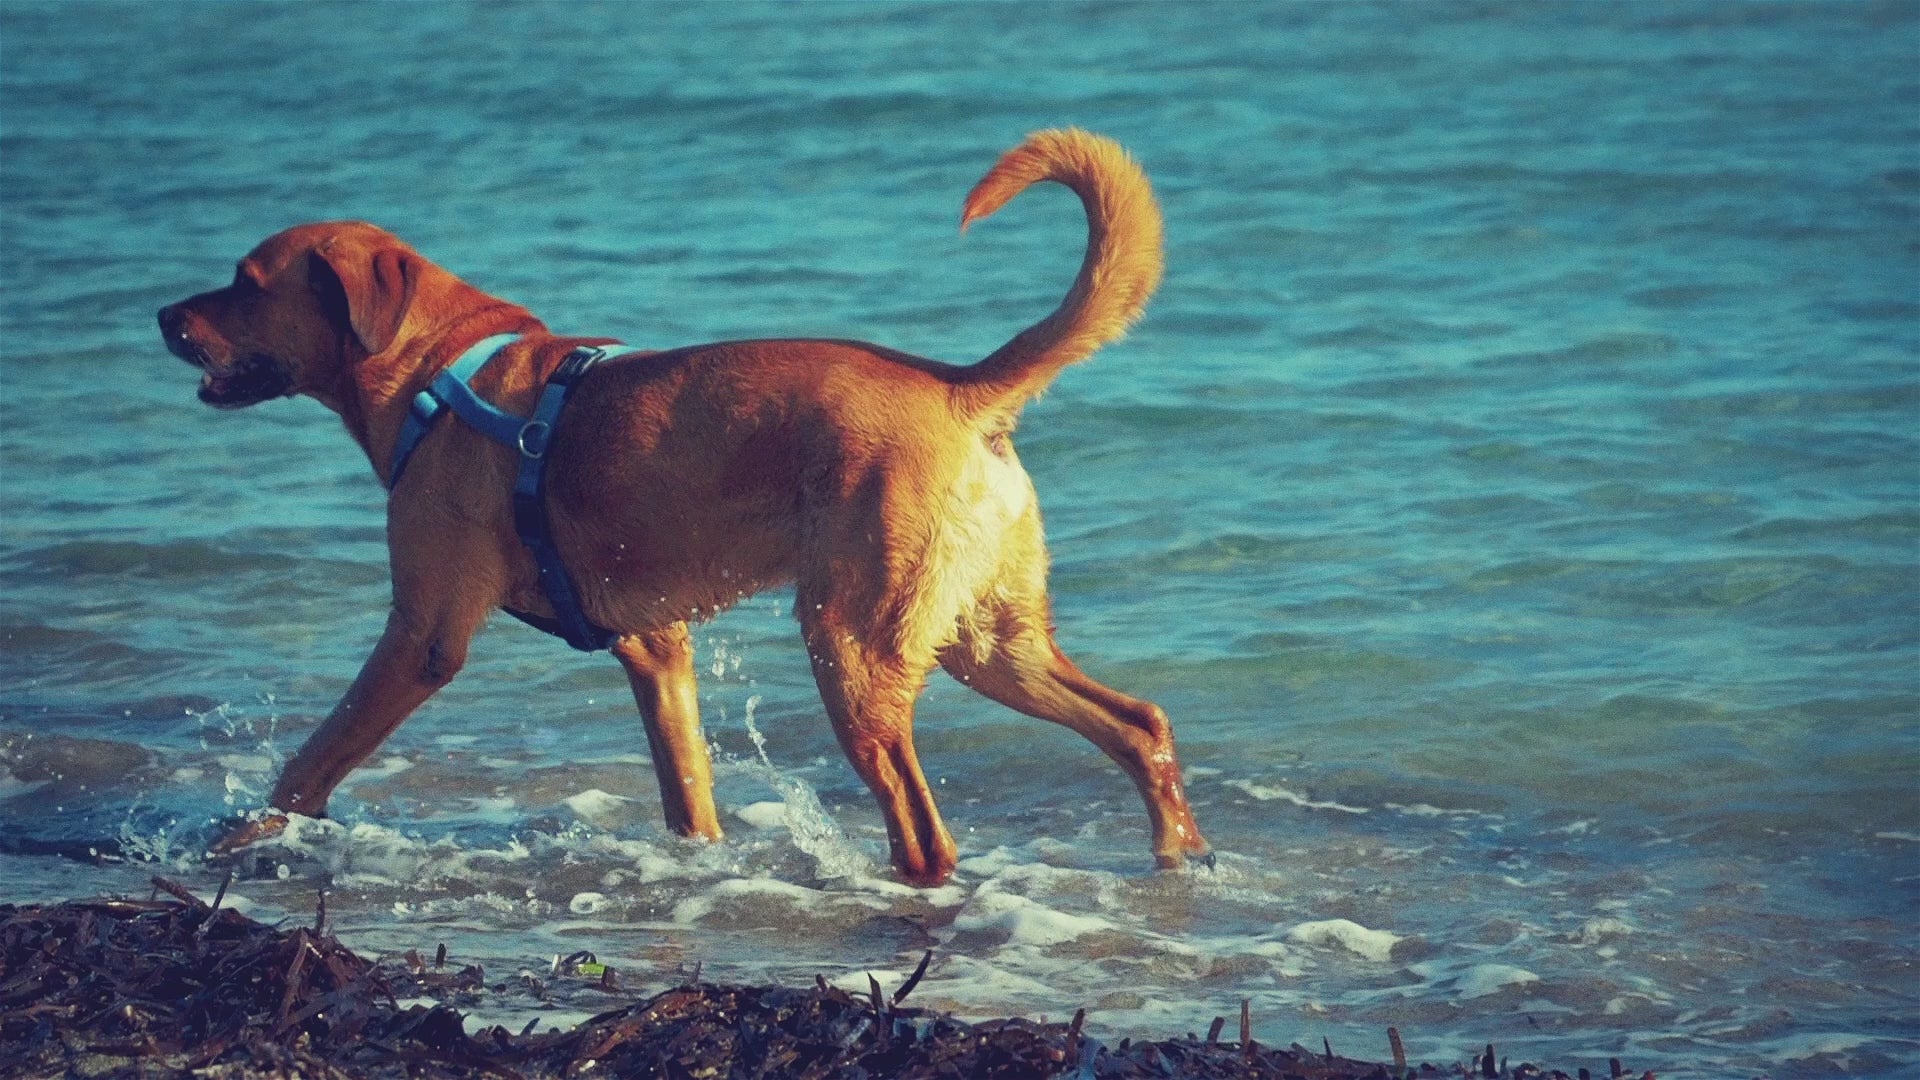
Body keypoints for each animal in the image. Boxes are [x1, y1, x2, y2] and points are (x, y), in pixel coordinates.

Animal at [165, 127, 1213, 883]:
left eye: (245, 282)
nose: (163, 314)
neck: (440, 367)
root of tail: (961, 389)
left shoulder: (422, 636)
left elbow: (313, 760)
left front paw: (237, 840)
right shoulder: (654, 648)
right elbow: (689, 790)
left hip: (853, 643)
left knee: (925, 833)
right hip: (986, 637)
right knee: (1139, 722)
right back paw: (1179, 851)